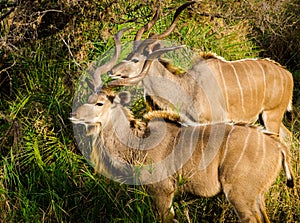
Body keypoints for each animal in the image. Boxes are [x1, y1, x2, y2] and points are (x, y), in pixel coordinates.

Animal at [107, 2, 292, 145]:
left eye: (135, 60)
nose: (111, 71)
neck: (188, 87)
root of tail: (287, 74)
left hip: (272, 115)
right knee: (287, 136)